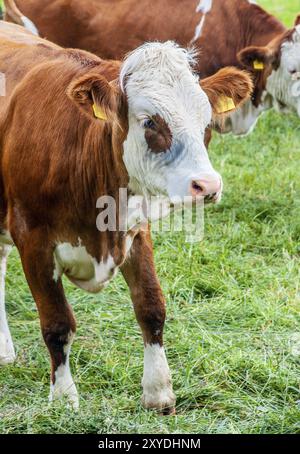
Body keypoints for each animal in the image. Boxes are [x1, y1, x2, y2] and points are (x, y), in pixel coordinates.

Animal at [0, 20, 253, 412]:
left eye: (206, 120)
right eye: (150, 122)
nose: (207, 185)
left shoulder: (135, 231)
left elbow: (151, 306)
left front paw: (159, 392)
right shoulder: (32, 237)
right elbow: (57, 322)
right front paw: (64, 398)